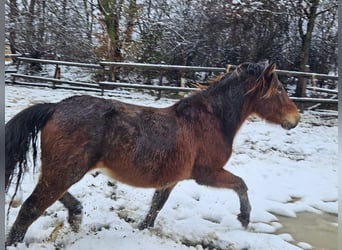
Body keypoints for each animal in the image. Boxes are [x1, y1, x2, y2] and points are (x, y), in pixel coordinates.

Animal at [4, 62, 300, 246]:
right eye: (280, 90)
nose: (295, 118)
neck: (211, 120)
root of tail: (55, 108)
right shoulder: (207, 173)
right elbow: (241, 184)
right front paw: (244, 218)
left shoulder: (172, 179)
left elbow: (156, 207)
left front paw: (140, 230)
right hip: (65, 171)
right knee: (30, 208)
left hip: (62, 170)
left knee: (53, 197)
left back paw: (76, 215)